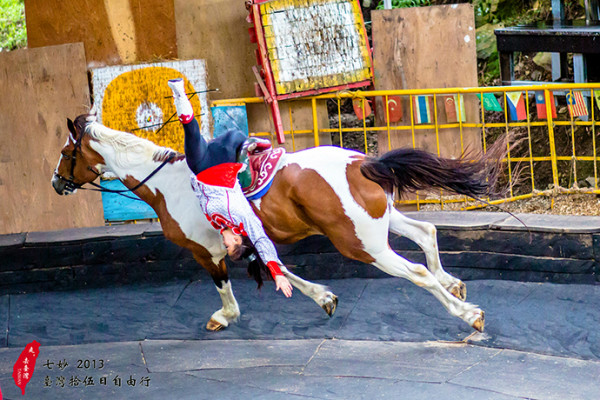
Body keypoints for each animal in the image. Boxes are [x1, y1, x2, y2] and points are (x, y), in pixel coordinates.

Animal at [52, 111, 510, 332]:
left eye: (66, 152)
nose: (57, 182)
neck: (166, 183)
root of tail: (360, 162)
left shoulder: (207, 251)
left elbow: (224, 286)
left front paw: (226, 316)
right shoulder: (250, 238)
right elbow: (281, 269)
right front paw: (324, 297)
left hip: (362, 244)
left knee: (417, 273)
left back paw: (467, 313)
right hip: (381, 225)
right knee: (426, 234)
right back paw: (454, 284)